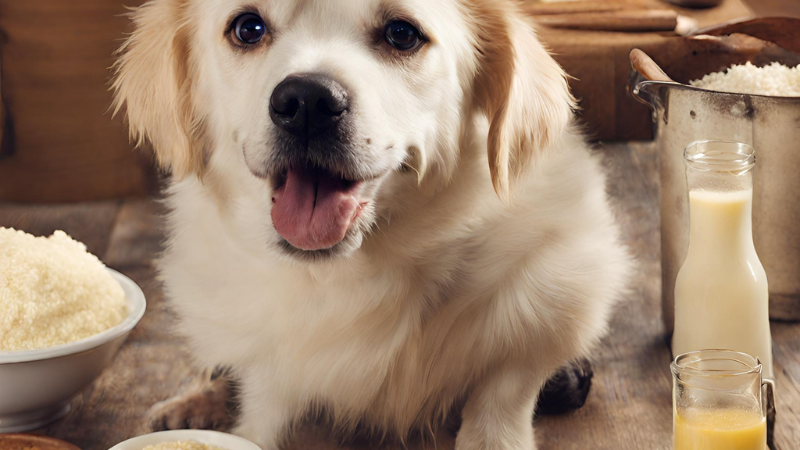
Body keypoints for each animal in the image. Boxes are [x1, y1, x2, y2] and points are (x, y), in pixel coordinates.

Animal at [112, 0, 632, 446]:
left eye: (402, 34)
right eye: (247, 28)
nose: (306, 102)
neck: (351, 274)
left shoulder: (561, 274)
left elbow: (506, 381)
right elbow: (260, 405)